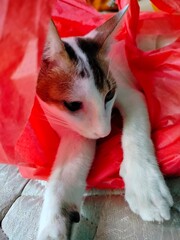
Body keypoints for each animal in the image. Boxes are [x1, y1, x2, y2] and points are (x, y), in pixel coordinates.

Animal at [36, 6, 173, 239]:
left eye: (109, 95)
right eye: (73, 105)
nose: (104, 133)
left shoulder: (129, 92)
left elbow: (135, 134)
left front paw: (146, 185)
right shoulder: (73, 129)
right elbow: (61, 181)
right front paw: (52, 228)